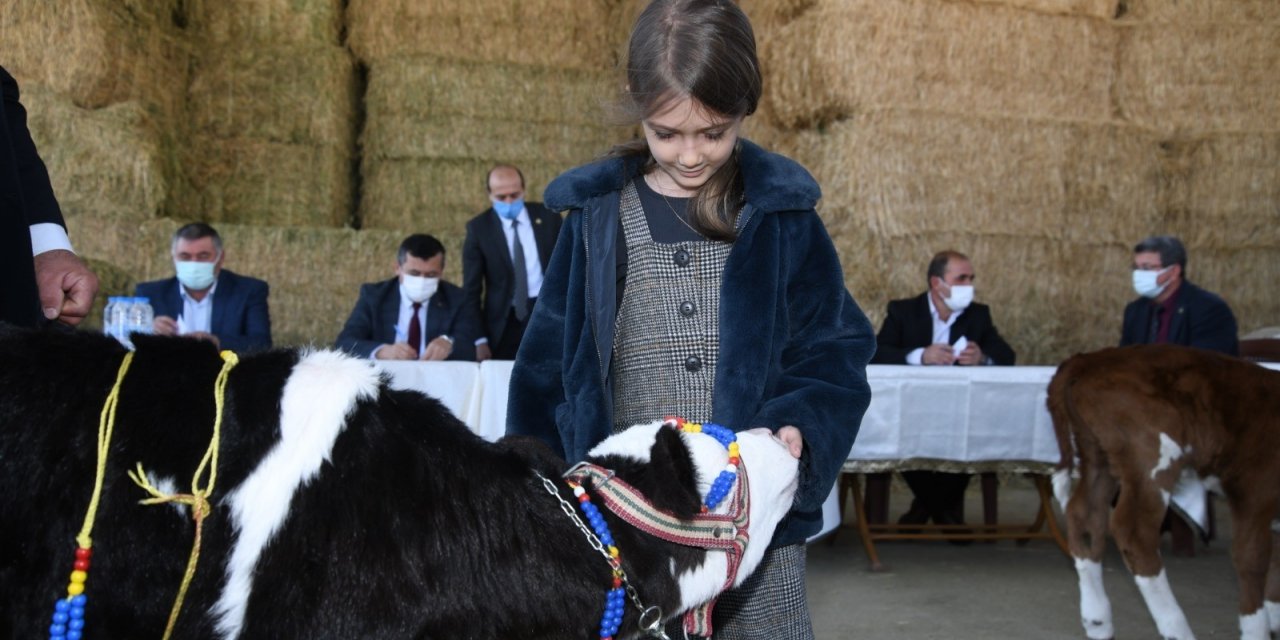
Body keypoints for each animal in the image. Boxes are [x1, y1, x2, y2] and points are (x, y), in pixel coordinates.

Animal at [1049, 345, 1280, 640]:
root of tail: (1084, 360)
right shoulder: (1255, 488)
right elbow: (1252, 558)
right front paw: (1257, 629)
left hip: (1097, 453)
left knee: (1085, 518)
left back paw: (1098, 622)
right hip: (1150, 457)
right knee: (1134, 531)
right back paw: (1177, 629)